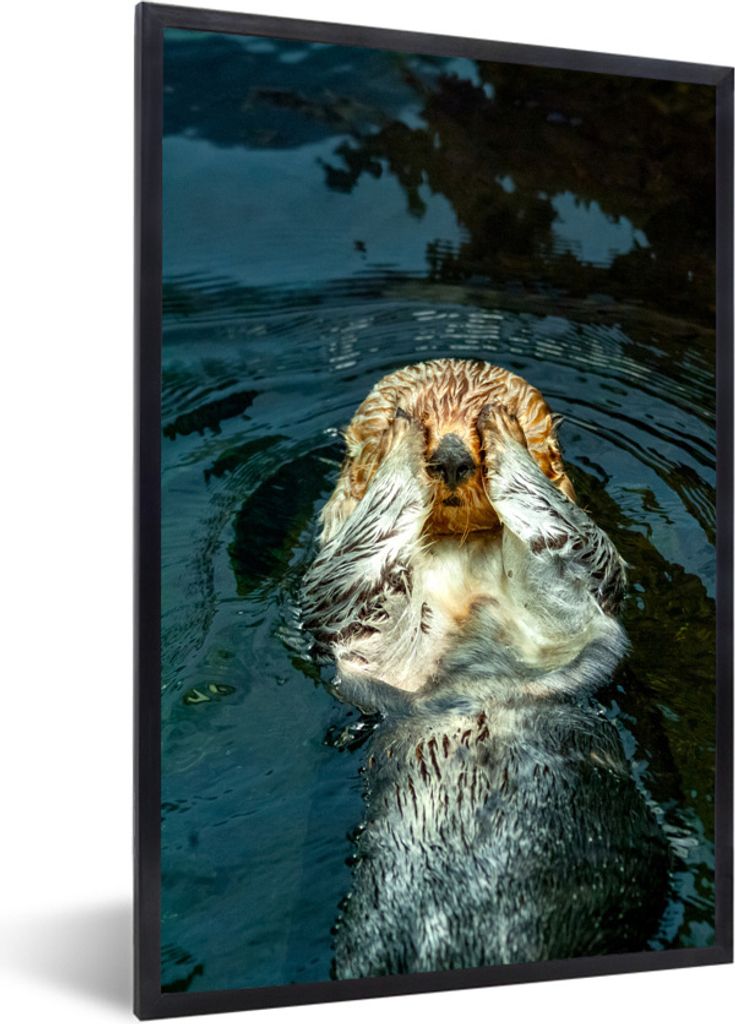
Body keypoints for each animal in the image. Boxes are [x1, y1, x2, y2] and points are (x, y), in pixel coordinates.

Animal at [300, 358, 668, 979]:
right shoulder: (346, 612)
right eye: (421, 415)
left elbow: (568, 536)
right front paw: (400, 439)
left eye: (472, 423)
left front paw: (506, 431)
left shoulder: (582, 594)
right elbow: (357, 558)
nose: (451, 456)